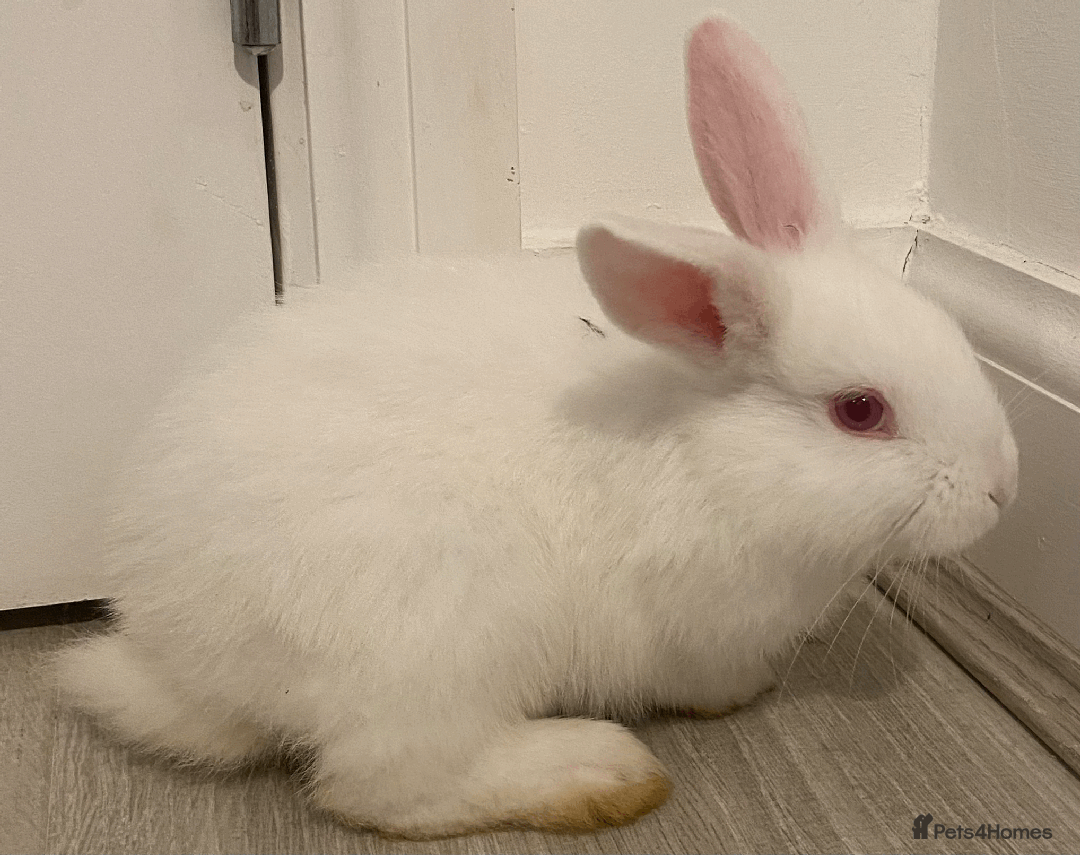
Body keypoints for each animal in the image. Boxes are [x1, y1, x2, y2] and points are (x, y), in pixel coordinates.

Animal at [56, 14, 1018, 839]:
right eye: (860, 411)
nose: (1003, 488)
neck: (711, 447)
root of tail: (181, 658)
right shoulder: (692, 622)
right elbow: (705, 672)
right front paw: (744, 690)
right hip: (434, 641)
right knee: (382, 784)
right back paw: (599, 774)